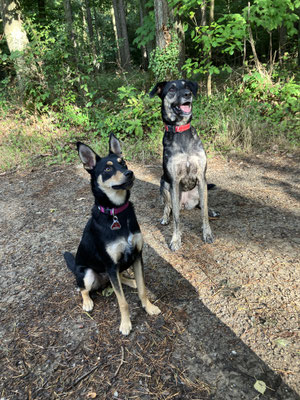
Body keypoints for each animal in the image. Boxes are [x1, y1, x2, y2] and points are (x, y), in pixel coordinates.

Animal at [64, 134, 161, 334]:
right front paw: (125, 324)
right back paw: (87, 302)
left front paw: (148, 307)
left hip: (119, 267)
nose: (129, 173)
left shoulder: (137, 255)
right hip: (87, 273)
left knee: (120, 278)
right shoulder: (110, 264)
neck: (117, 212)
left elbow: (143, 289)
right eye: (108, 168)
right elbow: (122, 302)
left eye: (123, 162)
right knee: (83, 289)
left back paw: (131, 281)